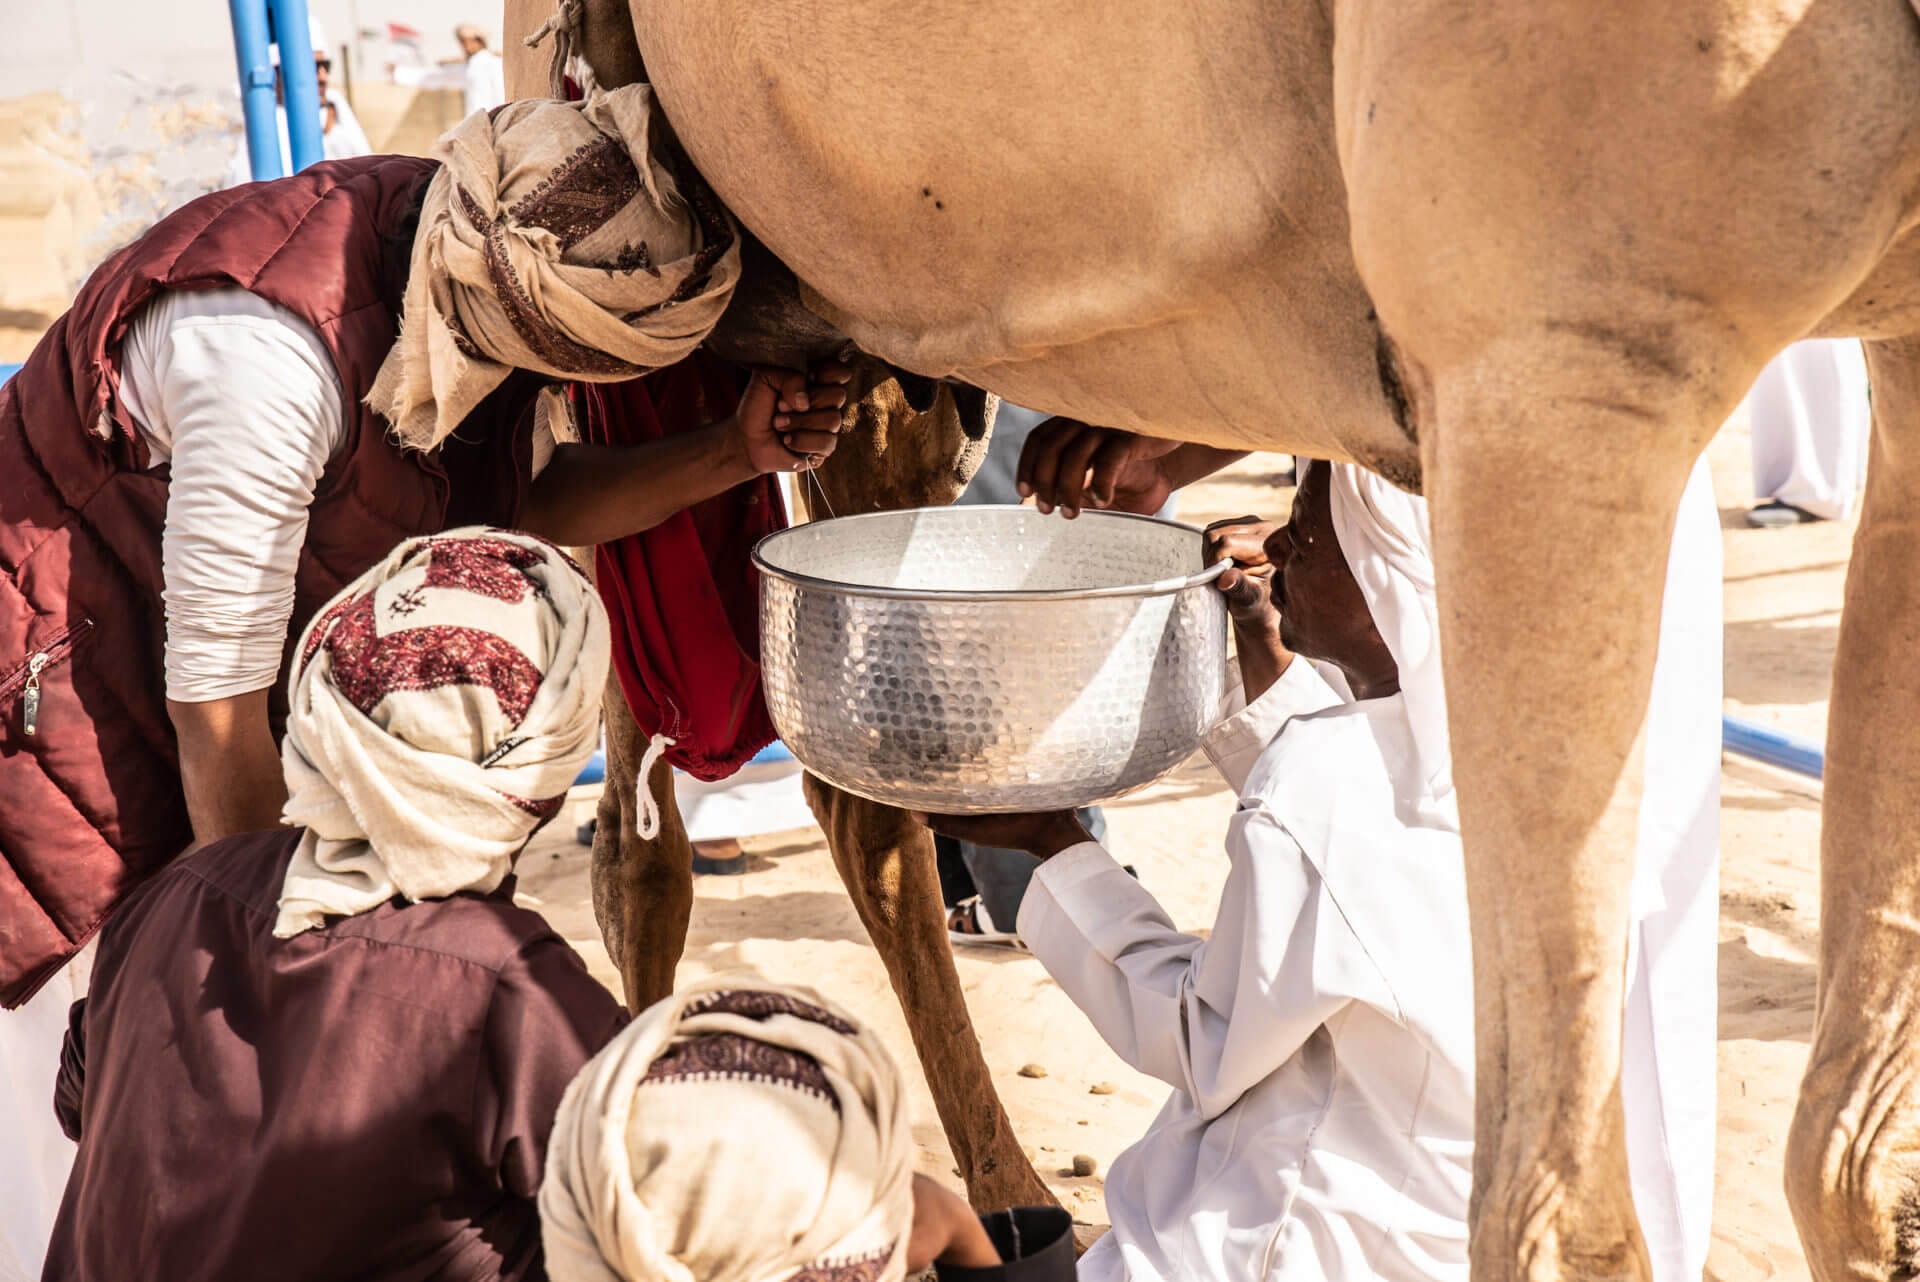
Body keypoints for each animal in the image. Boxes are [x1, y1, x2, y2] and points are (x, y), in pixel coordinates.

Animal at [506, 5, 1920, 1274]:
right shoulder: (1554, 348)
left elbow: (1849, 1166)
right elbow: (1554, 1216)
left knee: (847, 805)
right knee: (646, 812)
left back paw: (1012, 1197)